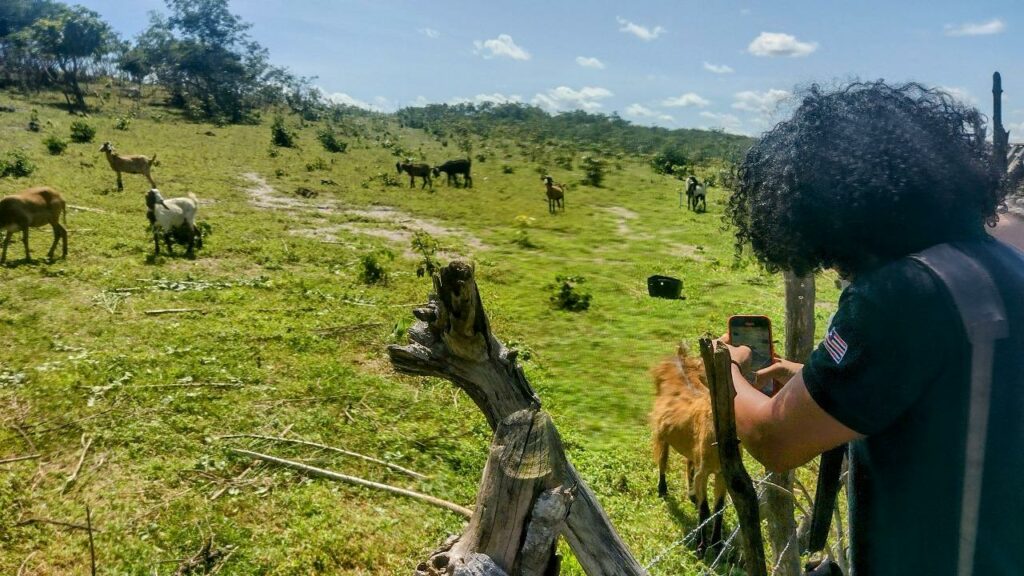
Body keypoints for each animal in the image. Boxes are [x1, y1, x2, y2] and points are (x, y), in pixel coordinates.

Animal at [647, 342, 729, 553]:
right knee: (662, 459)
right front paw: (701, 546)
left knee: (688, 463)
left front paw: (717, 543)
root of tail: (680, 359)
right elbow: (705, 509)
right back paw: (662, 489)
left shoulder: (722, 474)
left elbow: (718, 508)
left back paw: (691, 494)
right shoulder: (704, 471)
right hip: (661, 432)